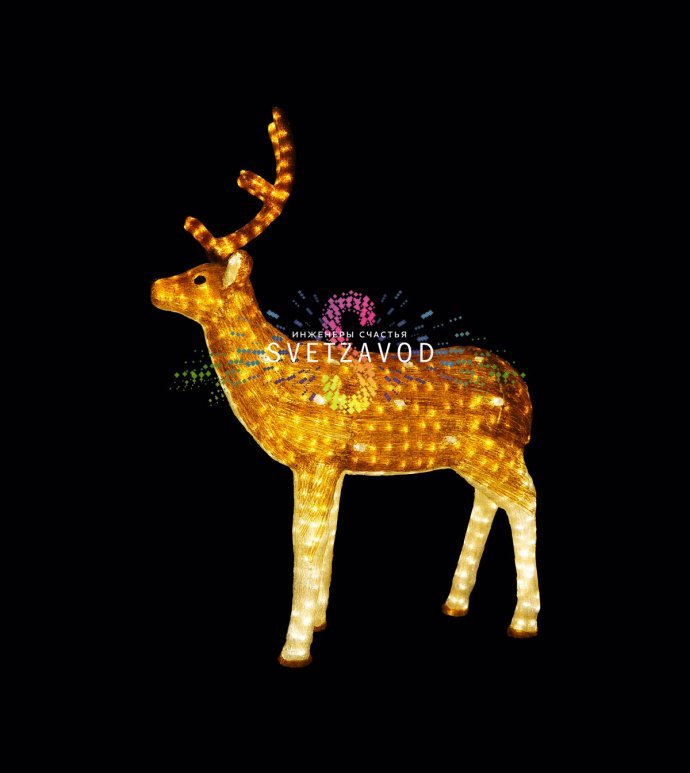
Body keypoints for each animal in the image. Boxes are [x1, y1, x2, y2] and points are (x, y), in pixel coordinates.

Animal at [151, 108, 540, 667]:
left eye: (200, 277)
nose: (154, 287)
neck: (279, 375)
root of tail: (527, 402)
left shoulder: (315, 454)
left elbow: (305, 538)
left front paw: (294, 646)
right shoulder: (334, 464)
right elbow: (329, 534)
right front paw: (317, 621)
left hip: (496, 448)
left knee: (527, 499)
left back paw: (524, 620)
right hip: (477, 453)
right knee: (492, 500)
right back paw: (455, 601)